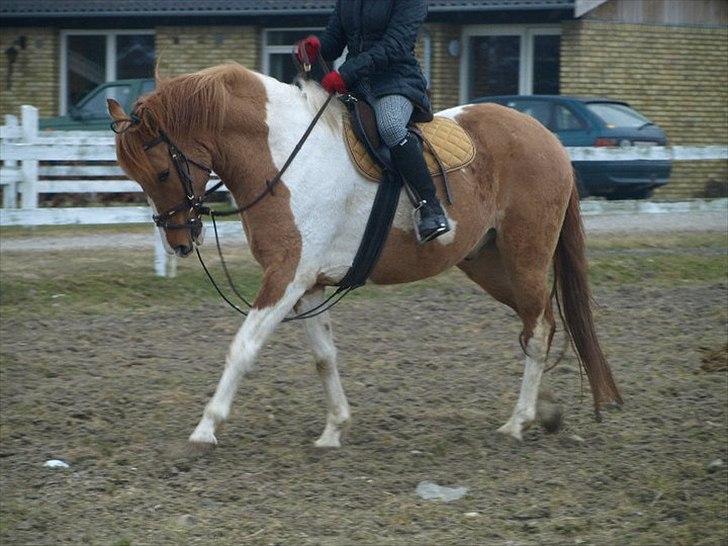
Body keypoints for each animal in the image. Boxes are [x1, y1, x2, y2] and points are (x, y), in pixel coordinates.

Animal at [108, 62, 622, 449]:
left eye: (160, 172)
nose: (178, 241)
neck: (283, 157)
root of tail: (545, 136)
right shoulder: (309, 284)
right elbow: (324, 357)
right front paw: (334, 429)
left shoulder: (286, 276)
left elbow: (243, 347)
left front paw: (206, 427)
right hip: (489, 265)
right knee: (540, 323)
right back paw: (543, 412)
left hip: (525, 257)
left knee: (538, 329)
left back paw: (517, 422)